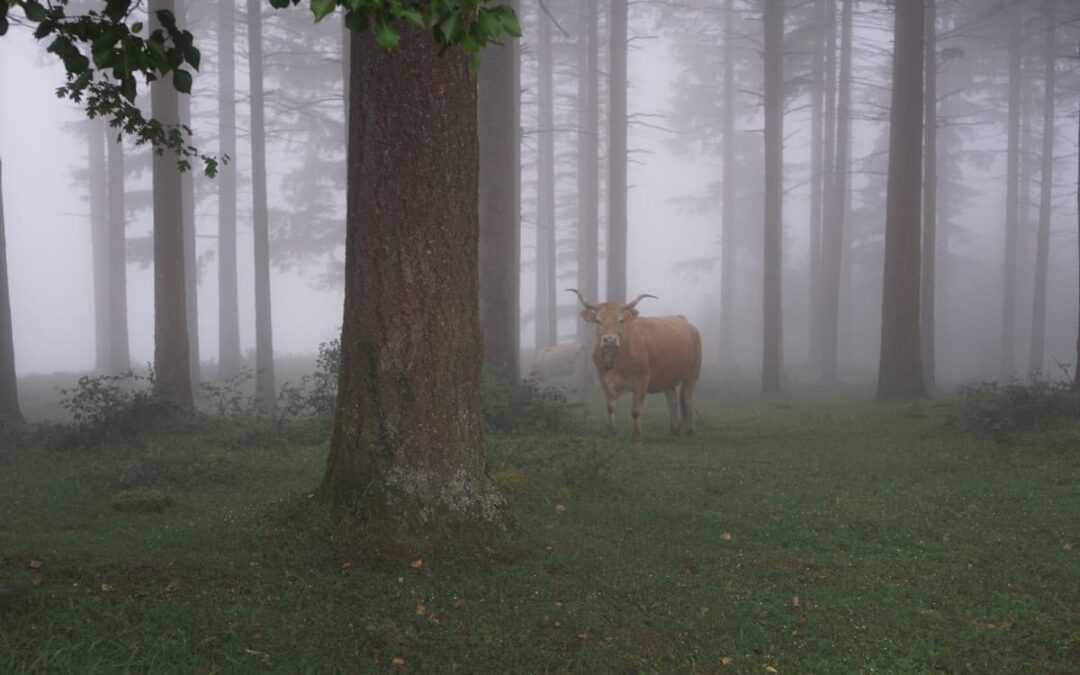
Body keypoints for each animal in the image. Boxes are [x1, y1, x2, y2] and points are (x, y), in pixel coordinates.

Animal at [570, 287, 704, 440]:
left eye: (621, 320)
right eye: (598, 320)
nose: (610, 340)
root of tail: (683, 320)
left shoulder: (642, 379)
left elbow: (636, 410)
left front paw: (637, 435)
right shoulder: (603, 379)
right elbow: (610, 407)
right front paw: (611, 431)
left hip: (692, 374)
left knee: (688, 398)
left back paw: (690, 430)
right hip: (667, 376)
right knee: (672, 399)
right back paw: (673, 429)